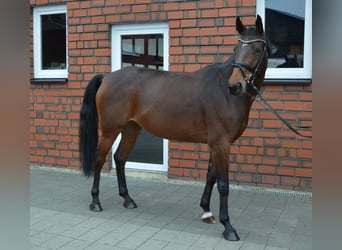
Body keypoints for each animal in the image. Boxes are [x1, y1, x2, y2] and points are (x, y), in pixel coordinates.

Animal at [79, 15, 268, 240]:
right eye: (235, 48)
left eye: (256, 49)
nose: (235, 86)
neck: (223, 91)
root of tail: (107, 77)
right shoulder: (222, 144)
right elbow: (223, 185)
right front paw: (228, 227)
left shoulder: (217, 144)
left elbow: (211, 177)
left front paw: (206, 211)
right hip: (110, 131)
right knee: (99, 160)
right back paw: (95, 202)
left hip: (131, 129)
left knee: (120, 158)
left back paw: (128, 199)